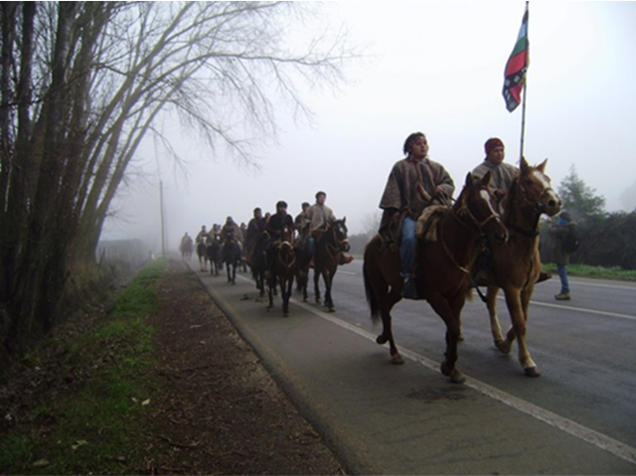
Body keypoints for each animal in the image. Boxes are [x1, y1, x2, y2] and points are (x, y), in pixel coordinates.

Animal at [362, 171, 506, 384]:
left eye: (494, 199)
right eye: (474, 202)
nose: (501, 234)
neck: (450, 247)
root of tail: (372, 243)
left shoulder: (457, 296)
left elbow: (452, 329)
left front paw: (452, 367)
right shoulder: (435, 296)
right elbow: (453, 328)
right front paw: (448, 365)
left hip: (397, 289)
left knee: (386, 307)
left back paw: (384, 338)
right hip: (378, 283)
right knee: (384, 310)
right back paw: (394, 352)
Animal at [482, 158, 560, 378]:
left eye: (547, 178)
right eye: (528, 181)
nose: (554, 202)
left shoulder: (527, 287)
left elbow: (522, 319)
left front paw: (505, 344)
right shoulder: (511, 288)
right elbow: (519, 322)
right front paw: (527, 361)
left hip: (493, 282)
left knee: (491, 302)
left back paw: (498, 337)